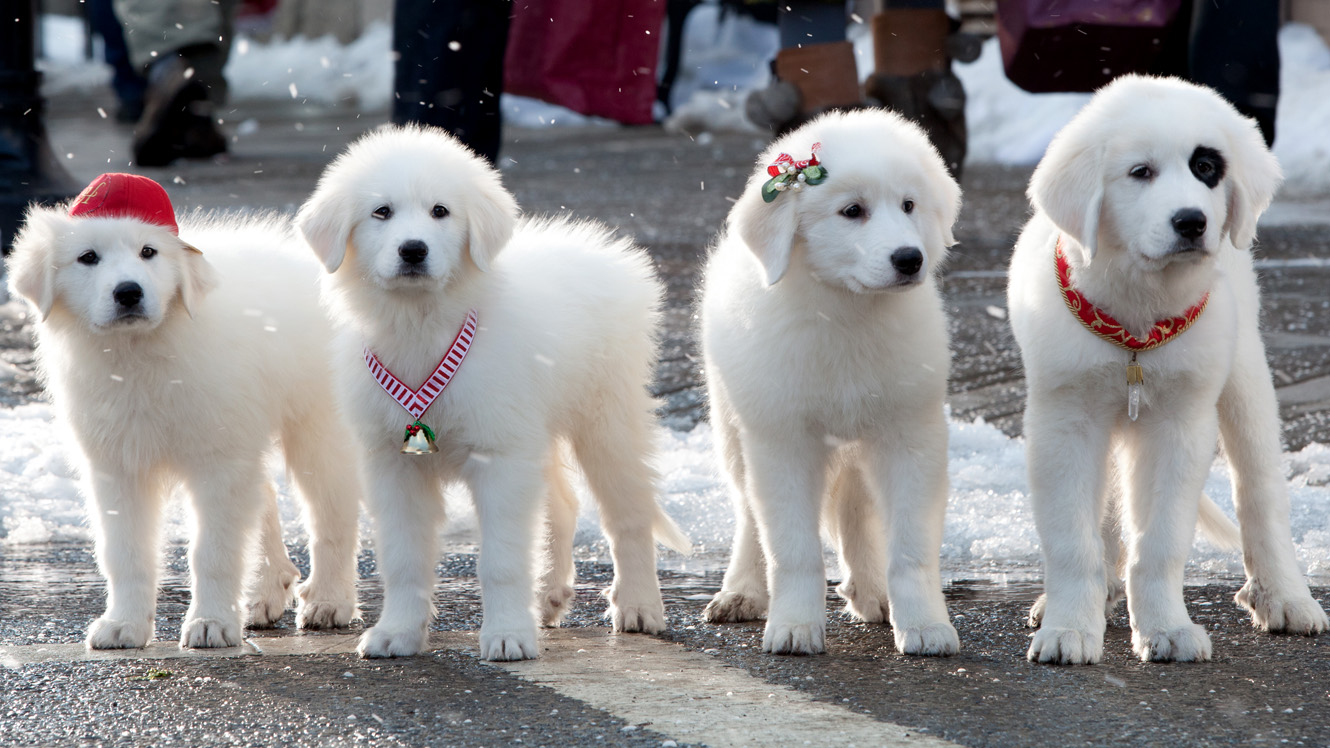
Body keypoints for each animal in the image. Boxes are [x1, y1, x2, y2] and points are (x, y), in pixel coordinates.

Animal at [7, 173, 361, 646]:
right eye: (88, 258)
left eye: (148, 252)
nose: (128, 292)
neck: (137, 355)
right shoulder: (117, 466)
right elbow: (125, 551)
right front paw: (123, 625)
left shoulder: (218, 462)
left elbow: (213, 550)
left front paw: (211, 623)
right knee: (265, 499)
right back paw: (264, 595)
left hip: (317, 430)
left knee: (331, 517)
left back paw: (328, 601)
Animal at [297, 125, 691, 660]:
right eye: (381, 212)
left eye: (440, 211)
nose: (413, 250)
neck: (423, 325)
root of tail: (604, 249)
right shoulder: (394, 464)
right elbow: (403, 558)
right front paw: (397, 633)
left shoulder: (501, 456)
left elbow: (501, 559)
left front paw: (507, 636)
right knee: (561, 506)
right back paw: (548, 597)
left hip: (609, 419)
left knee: (628, 515)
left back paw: (638, 606)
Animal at [702, 109, 962, 652]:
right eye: (852, 211)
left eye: (909, 205)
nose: (910, 259)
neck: (846, 313)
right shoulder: (783, 441)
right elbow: (792, 548)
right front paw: (795, 627)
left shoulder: (910, 434)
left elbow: (911, 548)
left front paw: (925, 627)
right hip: (733, 428)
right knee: (748, 514)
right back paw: (741, 591)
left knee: (856, 510)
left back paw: (873, 592)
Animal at [1010, 72, 1324, 660]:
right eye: (1141, 173)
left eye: (1206, 167)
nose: (1191, 222)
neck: (1135, 322)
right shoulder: (1064, 419)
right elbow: (1071, 536)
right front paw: (1069, 628)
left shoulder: (1180, 423)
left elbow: (1162, 538)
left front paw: (1166, 628)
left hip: (1244, 377)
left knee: (1261, 491)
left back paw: (1286, 595)